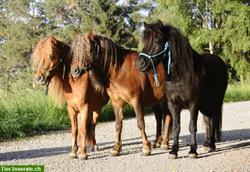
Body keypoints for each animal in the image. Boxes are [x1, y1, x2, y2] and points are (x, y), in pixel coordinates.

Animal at [137, 20, 229, 159]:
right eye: (144, 40)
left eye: (158, 40)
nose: (140, 64)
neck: (180, 76)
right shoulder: (173, 105)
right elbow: (176, 127)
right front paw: (173, 151)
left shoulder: (193, 105)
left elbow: (192, 127)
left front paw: (192, 151)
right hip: (205, 105)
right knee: (208, 122)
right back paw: (206, 145)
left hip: (216, 103)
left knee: (213, 121)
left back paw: (211, 145)